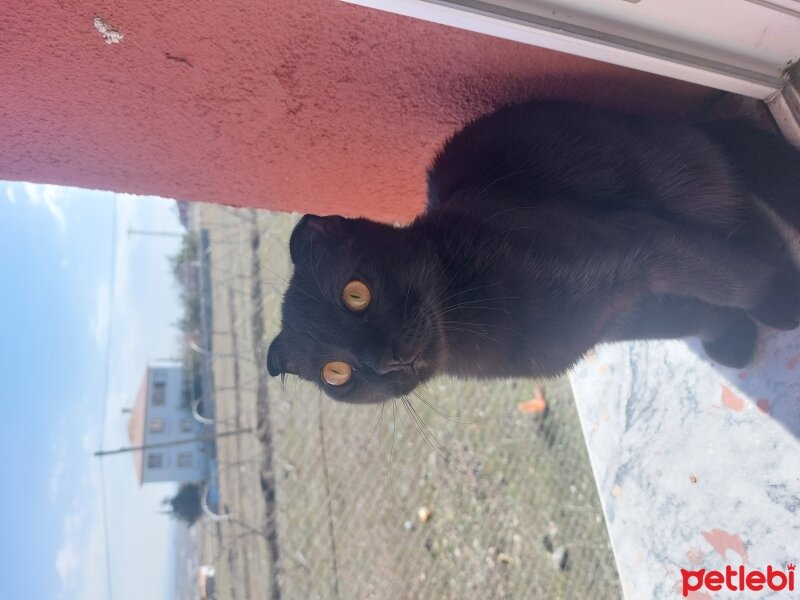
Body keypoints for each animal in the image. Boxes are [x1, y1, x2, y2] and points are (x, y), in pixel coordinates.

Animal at [268, 102, 800, 404]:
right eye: (336, 373)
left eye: (356, 293)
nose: (381, 362)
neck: (472, 324)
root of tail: (700, 128)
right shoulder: (626, 315)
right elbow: (692, 313)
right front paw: (734, 332)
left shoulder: (638, 244)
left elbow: (727, 276)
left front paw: (781, 302)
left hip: (678, 185)